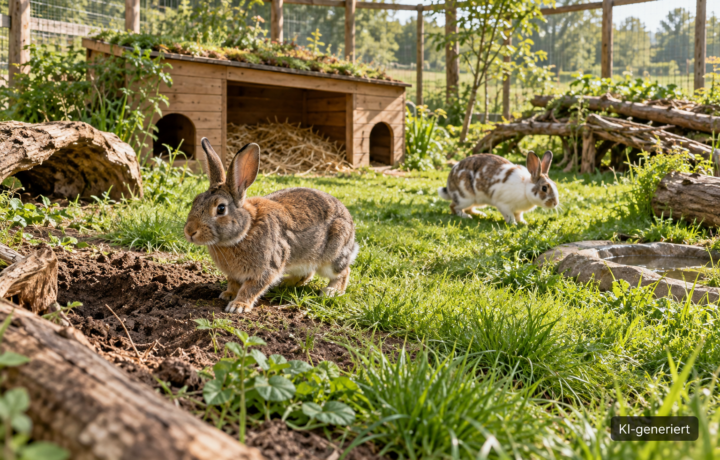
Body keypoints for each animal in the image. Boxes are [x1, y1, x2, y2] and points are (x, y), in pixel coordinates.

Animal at [184, 138, 359, 314]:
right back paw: (285, 282)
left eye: (221, 208)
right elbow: (233, 283)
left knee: (343, 271)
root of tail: (349, 220)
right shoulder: (234, 274)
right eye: (196, 200)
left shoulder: (267, 267)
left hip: (333, 254)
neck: (246, 230)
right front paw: (228, 294)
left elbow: (251, 288)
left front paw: (238, 306)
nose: (190, 232)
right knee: (307, 274)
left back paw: (331, 291)